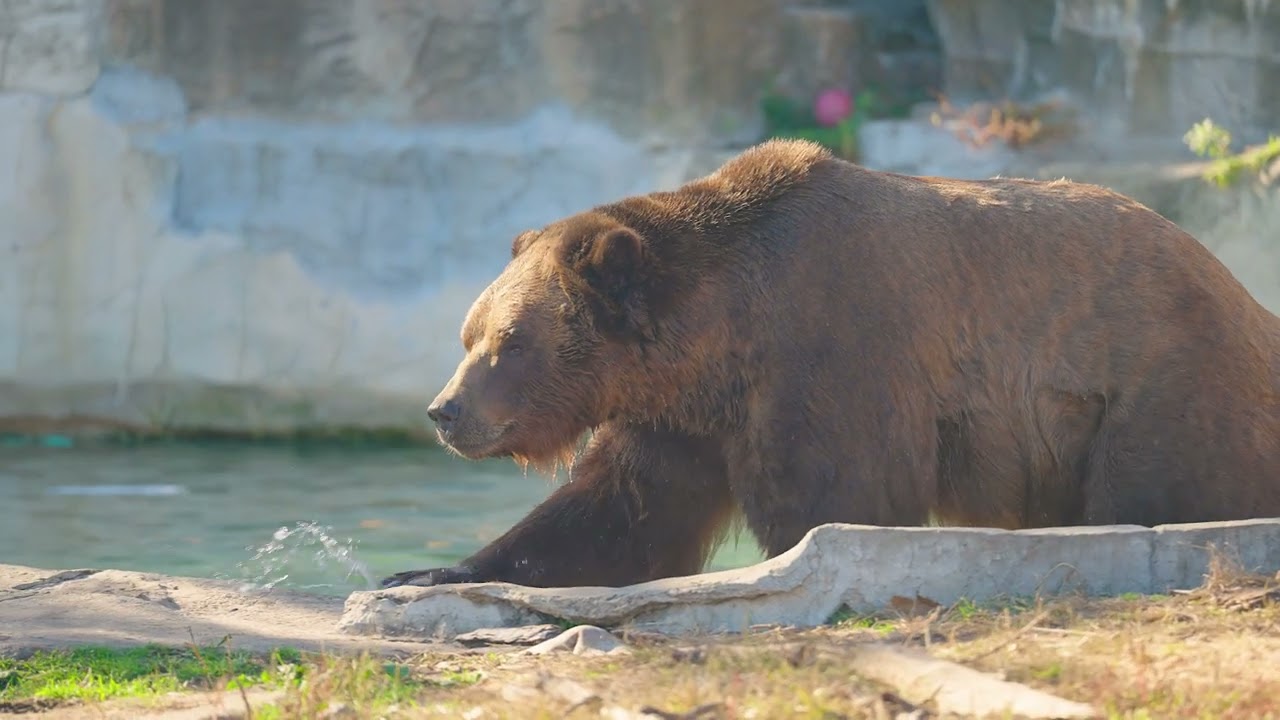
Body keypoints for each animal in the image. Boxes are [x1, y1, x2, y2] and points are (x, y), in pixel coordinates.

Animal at [378, 137, 1280, 586]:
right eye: (469, 334)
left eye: (508, 342)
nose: (445, 411)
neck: (720, 332)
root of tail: (1241, 291)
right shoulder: (684, 414)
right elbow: (617, 514)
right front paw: (425, 573)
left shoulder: (832, 350)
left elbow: (836, 498)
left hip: (1154, 381)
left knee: (1157, 483)